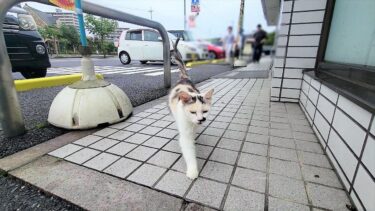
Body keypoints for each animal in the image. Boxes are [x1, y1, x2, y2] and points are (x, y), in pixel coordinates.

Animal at [168, 38, 214, 180]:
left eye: (205, 111)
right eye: (193, 112)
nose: (201, 119)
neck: (191, 122)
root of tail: (184, 78)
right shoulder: (185, 132)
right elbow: (188, 151)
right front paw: (193, 171)